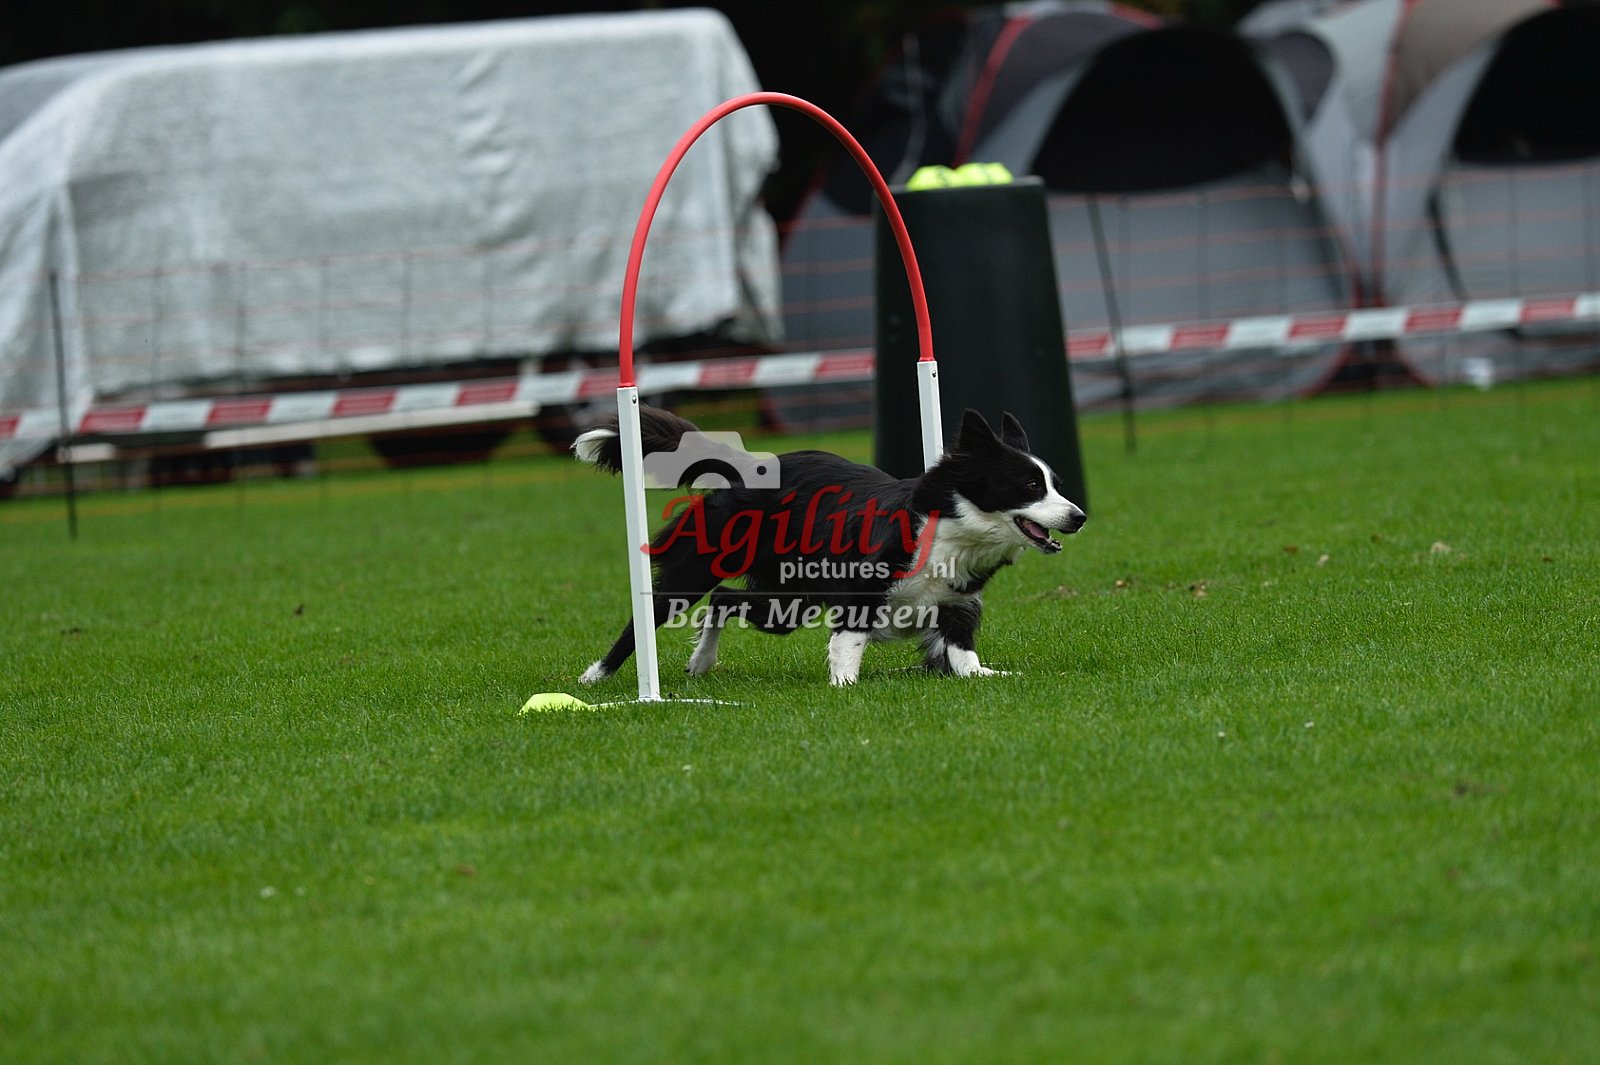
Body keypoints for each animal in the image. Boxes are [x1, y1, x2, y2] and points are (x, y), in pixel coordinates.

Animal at [573, 404, 1085, 686]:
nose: (1078, 517)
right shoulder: (860, 590)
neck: (953, 529)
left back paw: (701, 663)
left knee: (724, 599)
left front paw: (984, 677)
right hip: (702, 566)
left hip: (789, 600)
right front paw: (845, 685)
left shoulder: (959, 603)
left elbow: (962, 655)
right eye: (1029, 486)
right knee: (658, 612)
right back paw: (596, 676)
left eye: (1056, 485)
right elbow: (849, 641)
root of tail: (752, 466)